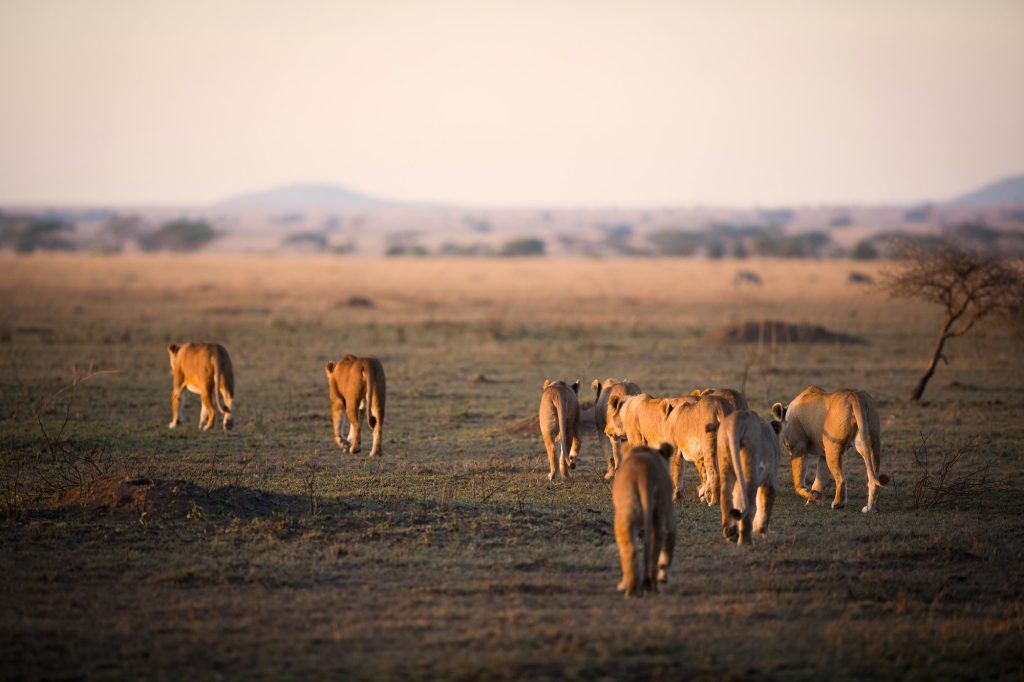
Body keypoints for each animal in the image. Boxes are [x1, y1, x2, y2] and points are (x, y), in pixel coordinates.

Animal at [610, 440, 675, 593]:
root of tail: (644, 475)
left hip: (626, 512)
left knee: (630, 549)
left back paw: (628, 587)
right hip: (659, 512)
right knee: (654, 551)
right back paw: (653, 587)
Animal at [716, 409, 778, 540]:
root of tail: (738, 417)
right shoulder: (771, 478)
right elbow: (765, 501)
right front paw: (762, 530)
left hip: (724, 453)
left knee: (726, 492)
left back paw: (730, 531)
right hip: (751, 456)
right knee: (746, 496)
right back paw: (745, 539)